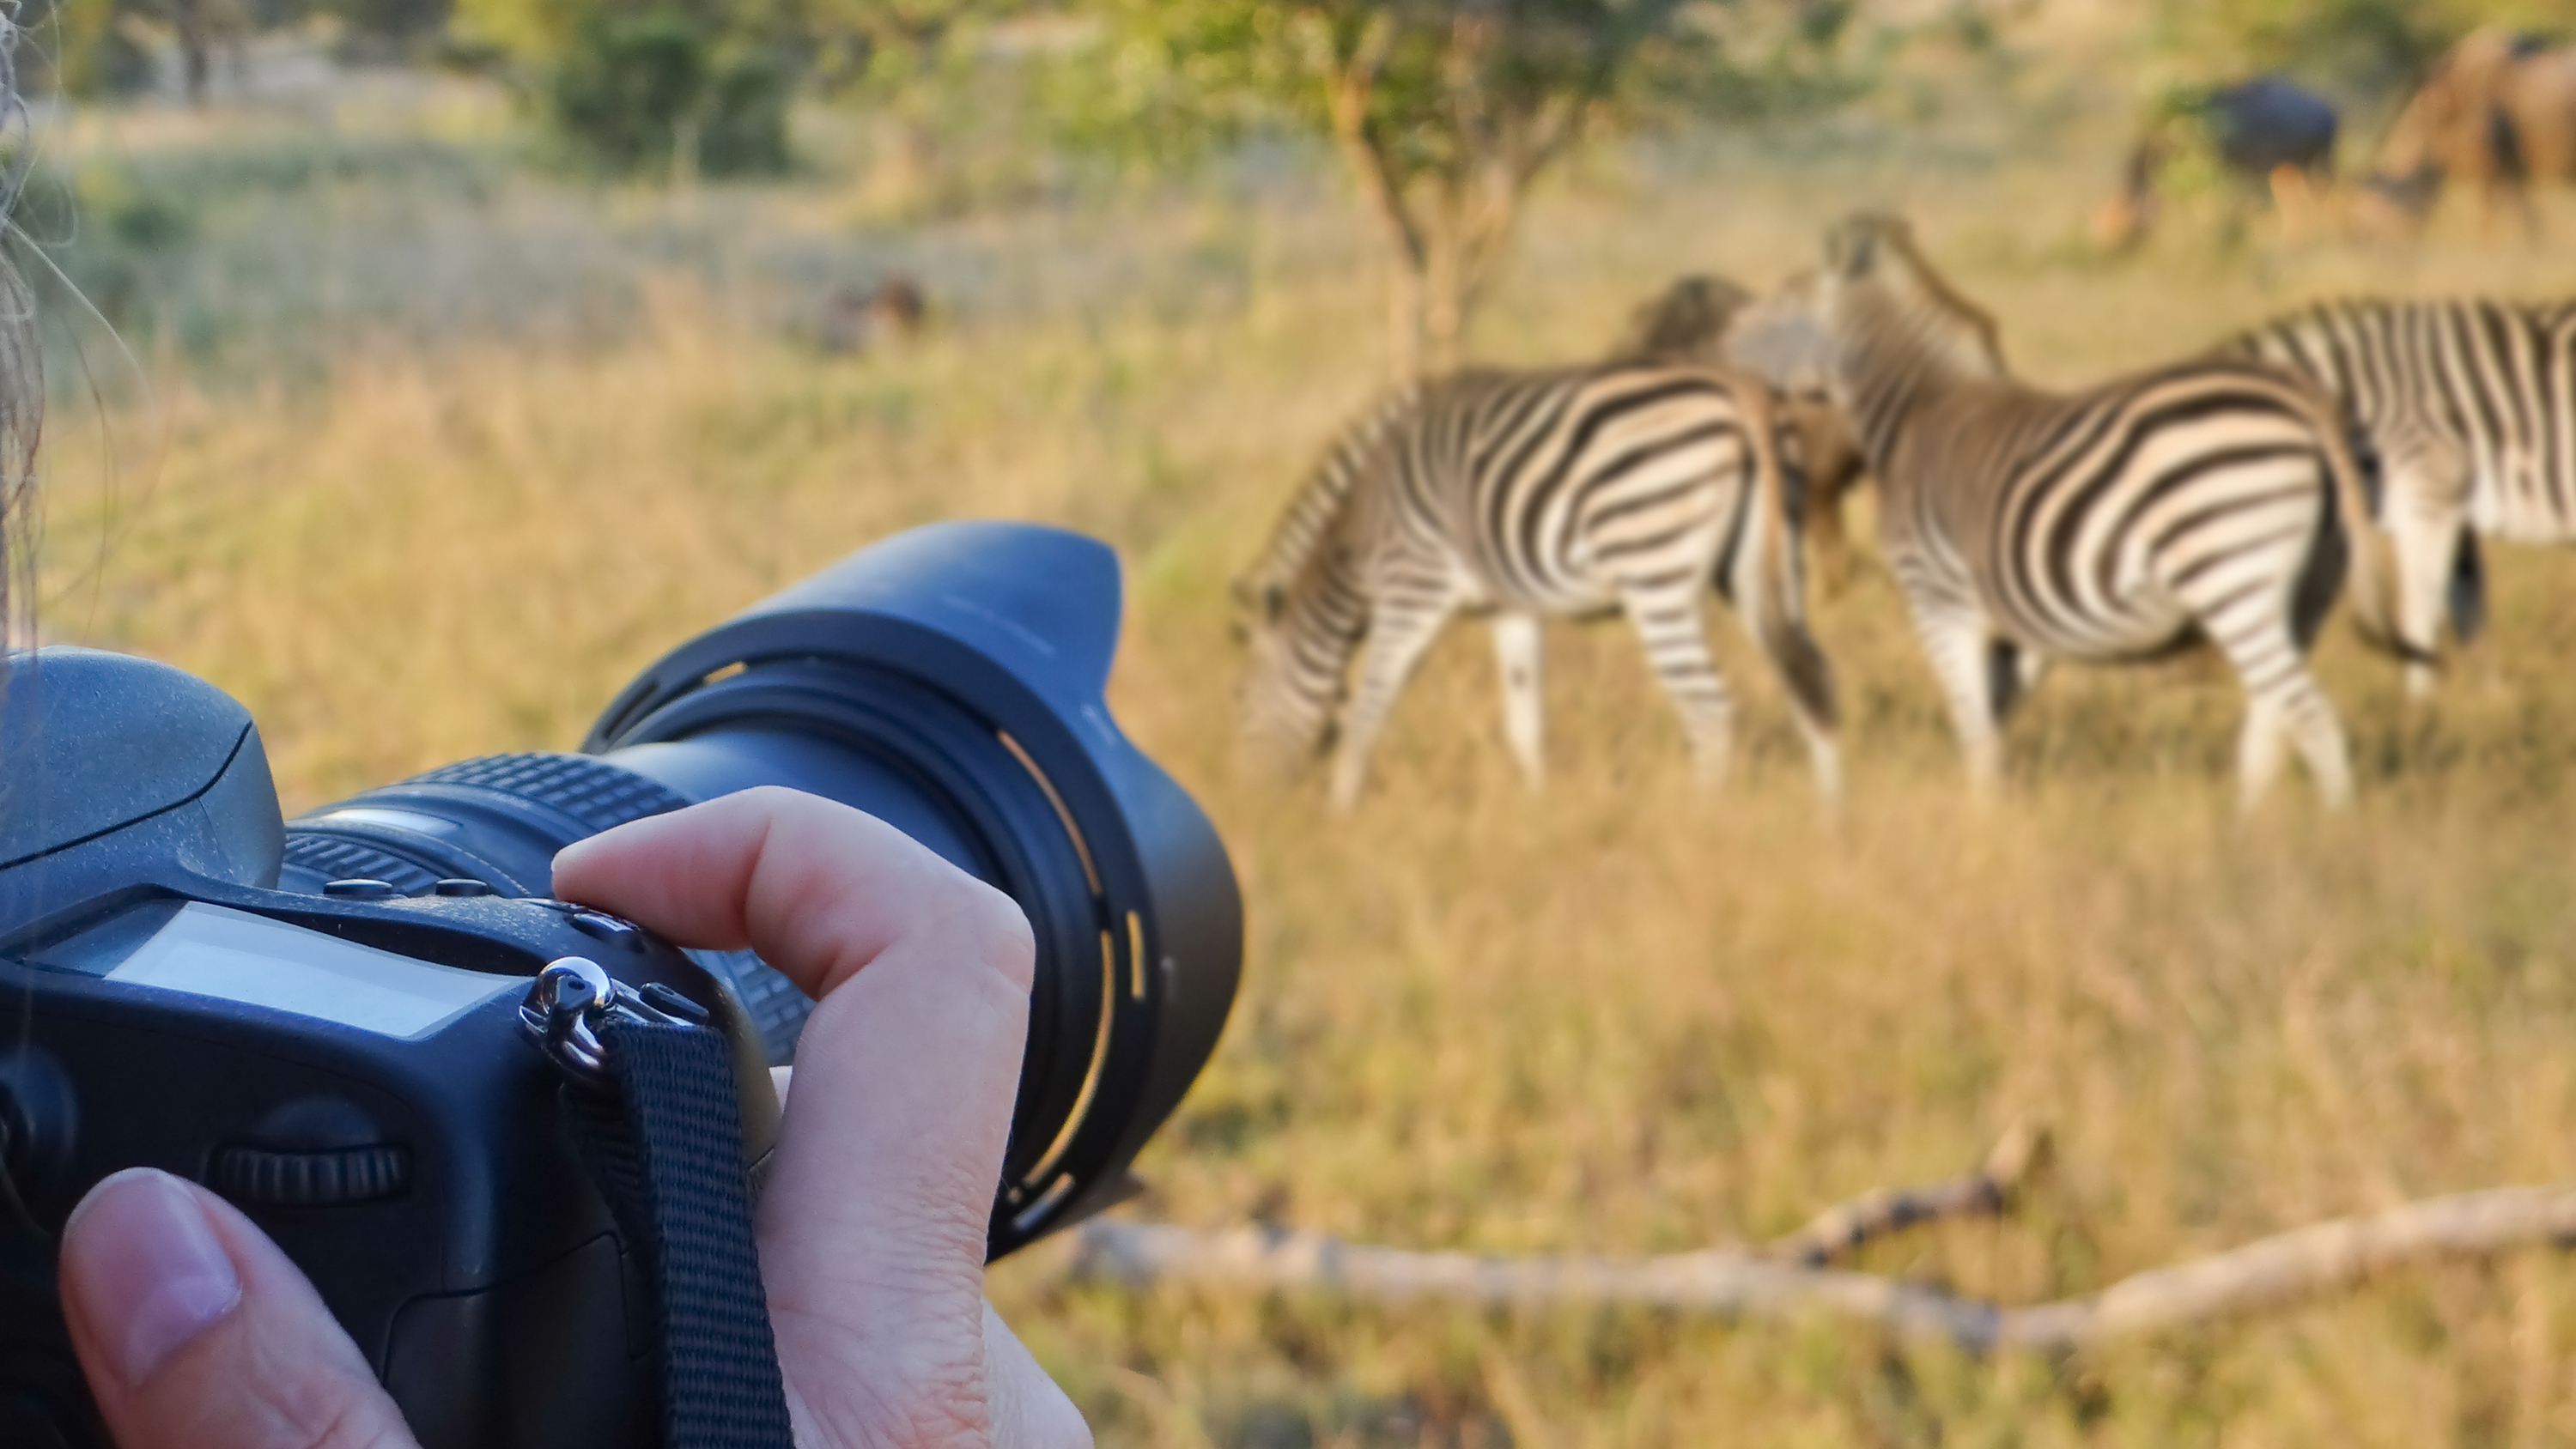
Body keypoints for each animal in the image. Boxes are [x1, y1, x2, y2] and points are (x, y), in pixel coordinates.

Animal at [1236, 360, 1844, 813]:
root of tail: (1746, 393)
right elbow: (1524, 725)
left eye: (1237, 704)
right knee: (1812, 679)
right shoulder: (1511, 609)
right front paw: (1538, 813)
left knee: (1709, 709)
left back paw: (1702, 822)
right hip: (1764, 566)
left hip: (1654, 569)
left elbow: (1369, 709)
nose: (1254, 807)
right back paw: (1834, 825)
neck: (1361, 530)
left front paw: (1340, 814)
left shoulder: (1413, 590)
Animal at [1793, 210, 2411, 813]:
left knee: (2309, 715)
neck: (1923, 410)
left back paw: (2324, 831)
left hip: (2230, 568)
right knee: (2272, 718)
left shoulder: (1942, 599)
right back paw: (2249, 831)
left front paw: (1980, 820)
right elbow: (1996, 710)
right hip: (2307, 589)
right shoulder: (2022, 615)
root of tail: (2309, 403)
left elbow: (1975, 722)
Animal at [2215, 297, 2576, 700]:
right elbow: (2471, 619)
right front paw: (2495, 705)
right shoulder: (2454, 512)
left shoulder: (2428, 497)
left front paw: (2420, 708)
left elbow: (2419, 618)